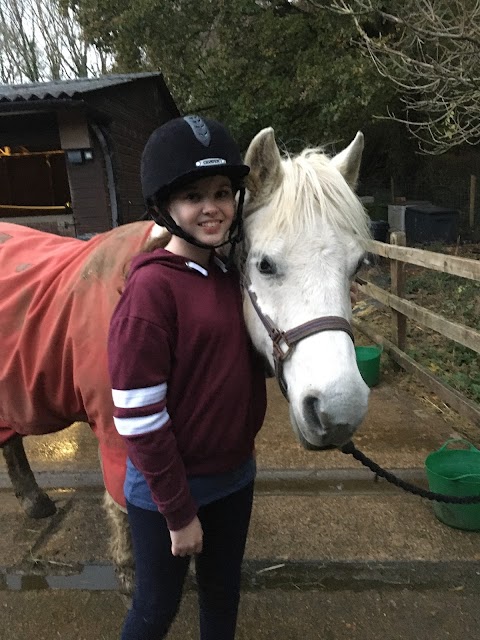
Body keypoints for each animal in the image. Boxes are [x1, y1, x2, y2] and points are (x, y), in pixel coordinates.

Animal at [0, 127, 370, 592]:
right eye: (265, 264)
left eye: (358, 266)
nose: (339, 410)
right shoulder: (120, 435)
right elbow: (126, 513)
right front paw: (130, 575)